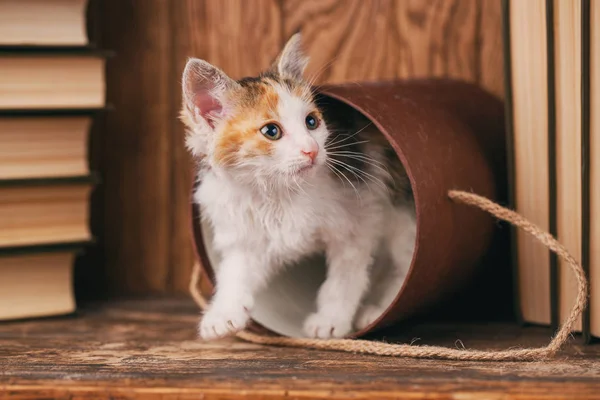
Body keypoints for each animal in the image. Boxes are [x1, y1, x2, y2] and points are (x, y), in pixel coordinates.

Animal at [180, 34, 414, 340]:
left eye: (312, 122)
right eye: (271, 131)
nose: (312, 150)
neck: (279, 190)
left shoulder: (357, 221)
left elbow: (343, 279)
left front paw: (330, 319)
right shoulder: (243, 230)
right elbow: (235, 272)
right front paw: (223, 313)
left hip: (400, 214)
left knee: (404, 260)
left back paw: (378, 308)